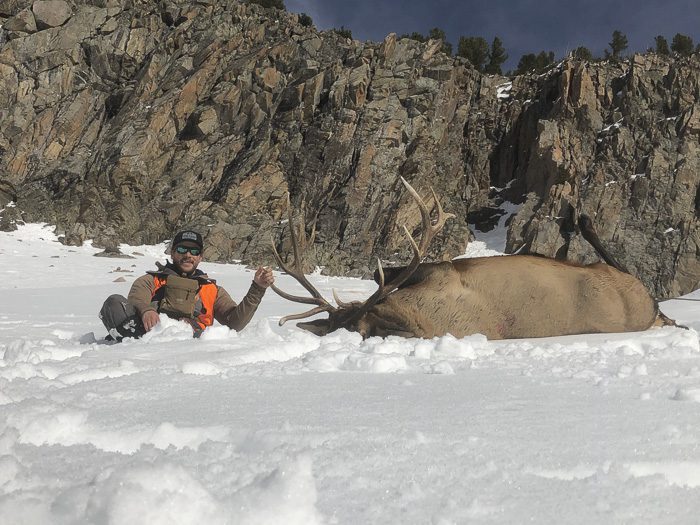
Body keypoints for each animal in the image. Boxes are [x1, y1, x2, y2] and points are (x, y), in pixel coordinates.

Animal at [270, 178, 677, 340]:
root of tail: (655, 313)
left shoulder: (442, 272)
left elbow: (376, 271)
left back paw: (582, 219)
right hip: (627, 286)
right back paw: (583, 220)